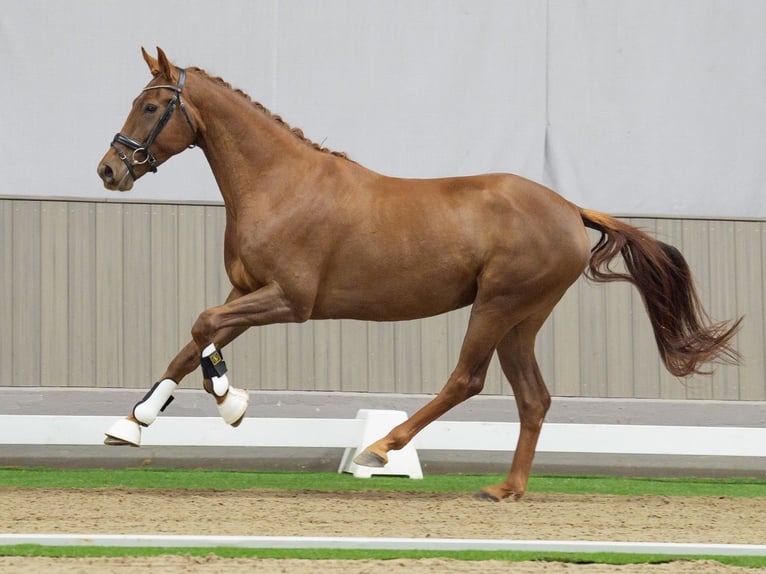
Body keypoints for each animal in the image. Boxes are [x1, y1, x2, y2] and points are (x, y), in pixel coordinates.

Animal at [97, 47, 744, 502]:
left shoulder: (289, 301)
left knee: (467, 380)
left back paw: (382, 449)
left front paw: (230, 402)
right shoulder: (248, 291)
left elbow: (201, 326)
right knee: (533, 398)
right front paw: (132, 424)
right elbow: (193, 342)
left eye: (151, 106)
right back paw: (505, 489)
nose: (109, 169)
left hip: (497, 307)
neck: (279, 184)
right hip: (521, 321)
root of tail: (568, 208)